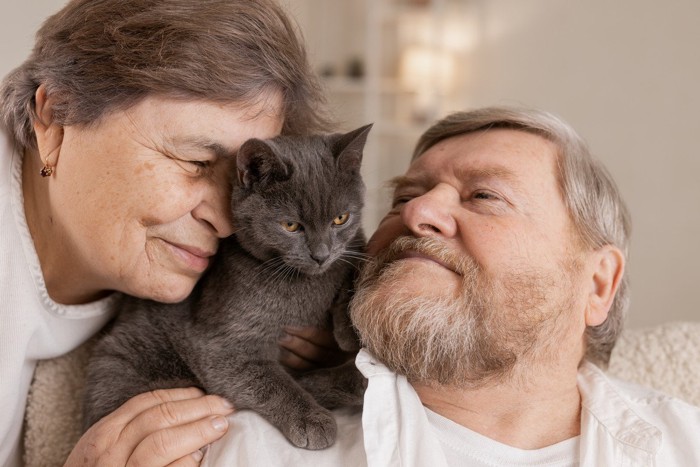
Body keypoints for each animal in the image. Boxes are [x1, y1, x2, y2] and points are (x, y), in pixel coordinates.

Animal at [82, 123, 372, 450]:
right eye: (291, 226)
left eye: (341, 218)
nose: (321, 255)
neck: (307, 283)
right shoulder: (221, 345)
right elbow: (272, 383)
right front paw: (312, 419)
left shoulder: (352, 245)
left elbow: (353, 261)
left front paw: (348, 329)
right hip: (124, 360)